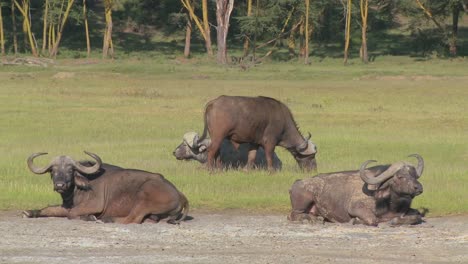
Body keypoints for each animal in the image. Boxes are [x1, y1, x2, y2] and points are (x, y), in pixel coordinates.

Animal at [23, 152, 188, 224]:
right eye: (53, 170)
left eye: (70, 170)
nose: (60, 185)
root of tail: (179, 194)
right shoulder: (66, 205)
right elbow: (49, 209)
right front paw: (30, 212)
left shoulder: (95, 204)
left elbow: (72, 213)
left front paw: (89, 217)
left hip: (144, 194)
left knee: (133, 218)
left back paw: (107, 219)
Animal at [288, 155, 426, 227]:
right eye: (400, 176)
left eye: (414, 175)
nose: (419, 188)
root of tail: (297, 182)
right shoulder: (356, 208)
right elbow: (373, 220)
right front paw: (355, 221)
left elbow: (417, 215)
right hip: (303, 201)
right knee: (292, 215)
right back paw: (311, 219)